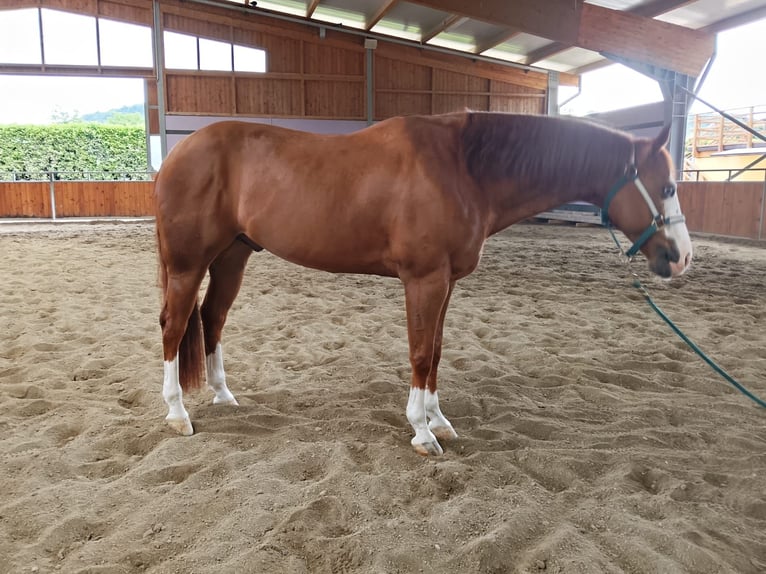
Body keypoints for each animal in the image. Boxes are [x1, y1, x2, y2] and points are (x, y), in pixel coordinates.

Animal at [154, 111, 693, 456]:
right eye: (667, 186)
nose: (682, 257)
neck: (462, 168)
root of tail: (179, 151)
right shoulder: (424, 280)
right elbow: (418, 352)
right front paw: (421, 432)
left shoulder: (446, 282)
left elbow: (435, 349)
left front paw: (439, 421)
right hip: (187, 264)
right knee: (174, 327)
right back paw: (178, 415)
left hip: (233, 256)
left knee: (212, 318)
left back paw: (223, 395)